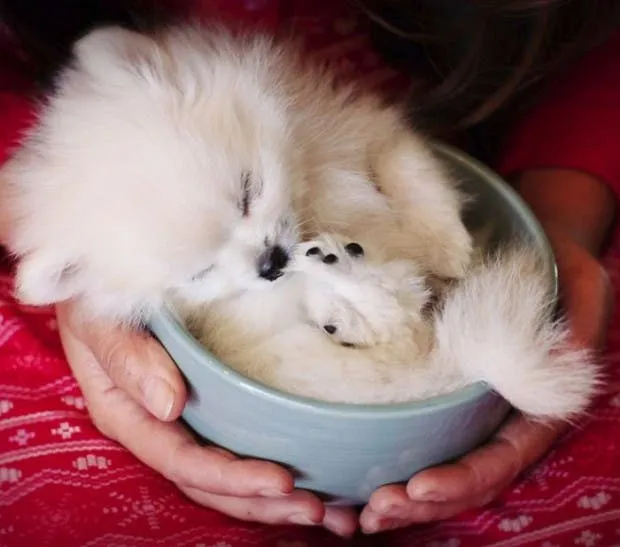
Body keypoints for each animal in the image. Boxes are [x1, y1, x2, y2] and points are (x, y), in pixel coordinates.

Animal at [0, 23, 470, 324]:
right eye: (201, 273)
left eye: (249, 191)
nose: (270, 262)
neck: (312, 192)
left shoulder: (368, 130)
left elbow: (409, 171)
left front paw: (445, 247)